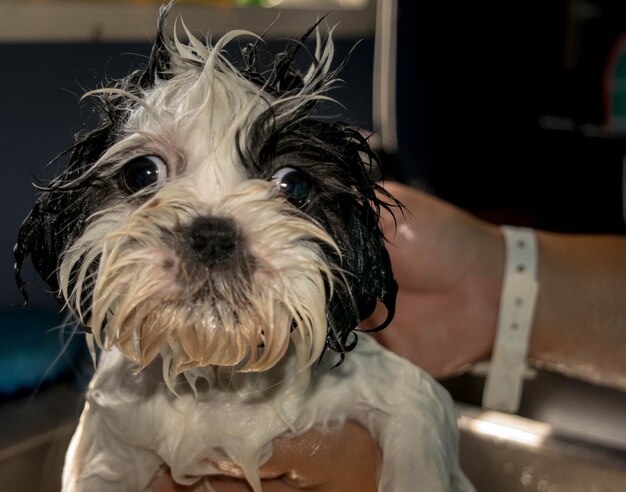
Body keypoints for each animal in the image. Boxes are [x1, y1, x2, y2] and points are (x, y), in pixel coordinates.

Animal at [13, 3, 472, 492]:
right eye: (141, 174)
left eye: (294, 185)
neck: (221, 379)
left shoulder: (406, 397)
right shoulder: (112, 447)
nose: (212, 236)